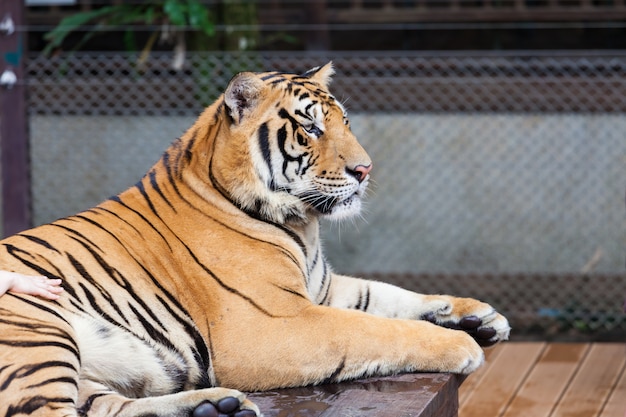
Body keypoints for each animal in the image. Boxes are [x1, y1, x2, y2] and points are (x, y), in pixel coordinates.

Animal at [0, 62, 508, 416]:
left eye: (344, 122)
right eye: (310, 127)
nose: (365, 170)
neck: (302, 226)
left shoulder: (322, 289)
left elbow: (388, 296)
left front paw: (479, 317)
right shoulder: (274, 323)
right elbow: (376, 327)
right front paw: (460, 346)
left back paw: (212, 407)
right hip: (38, 331)